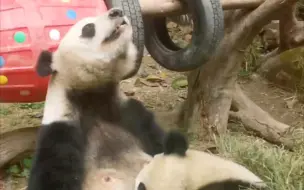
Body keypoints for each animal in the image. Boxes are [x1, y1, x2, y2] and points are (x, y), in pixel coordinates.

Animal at [27, 8, 166, 190]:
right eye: (88, 28)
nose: (116, 11)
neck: (92, 95)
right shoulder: (60, 128)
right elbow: (52, 176)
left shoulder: (129, 112)